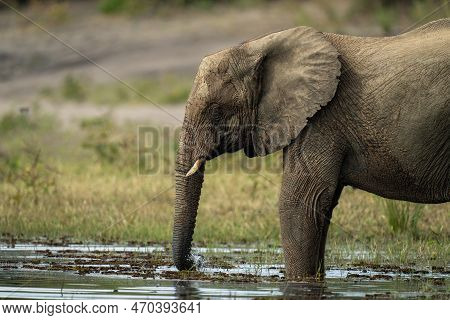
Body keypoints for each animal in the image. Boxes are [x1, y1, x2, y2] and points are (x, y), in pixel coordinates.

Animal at [172, 20, 450, 278]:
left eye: (216, 111)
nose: (197, 262)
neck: (259, 45)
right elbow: (320, 206)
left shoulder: (323, 117)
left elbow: (299, 203)